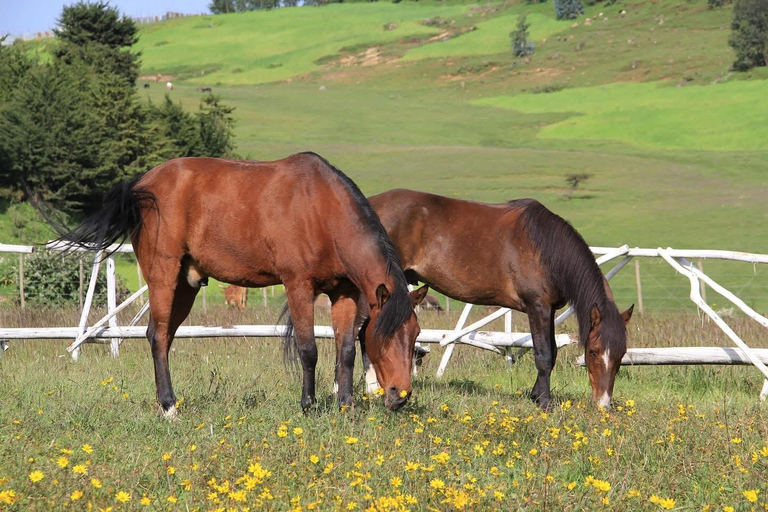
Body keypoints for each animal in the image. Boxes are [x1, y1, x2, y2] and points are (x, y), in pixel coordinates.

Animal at [49, 153, 427, 417]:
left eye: (415, 335)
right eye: (386, 335)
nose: (400, 396)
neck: (323, 209)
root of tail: (140, 187)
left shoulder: (344, 292)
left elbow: (345, 350)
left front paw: (346, 407)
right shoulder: (298, 285)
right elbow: (308, 349)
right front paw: (308, 405)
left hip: (186, 285)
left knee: (164, 337)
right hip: (163, 276)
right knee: (156, 336)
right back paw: (169, 407)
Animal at [367, 189, 633, 410]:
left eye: (622, 354)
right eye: (593, 352)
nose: (603, 404)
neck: (547, 250)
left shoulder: (549, 310)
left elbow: (553, 353)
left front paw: (536, 395)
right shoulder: (537, 307)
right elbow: (544, 355)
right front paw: (544, 403)